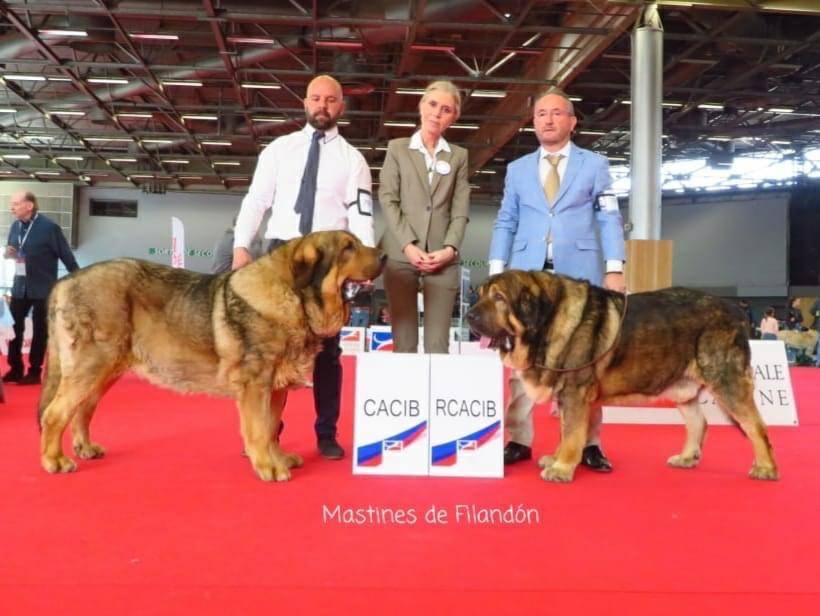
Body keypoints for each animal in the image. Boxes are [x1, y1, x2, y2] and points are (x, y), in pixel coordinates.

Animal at [37, 230, 384, 482]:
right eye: (348, 247)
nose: (383, 254)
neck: (295, 296)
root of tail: (65, 280)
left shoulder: (275, 388)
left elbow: (272, 428)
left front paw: (278, 457)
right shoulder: (255, 384)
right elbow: (259, 429)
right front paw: (268, 467)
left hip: (106, 369)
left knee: (82, 410)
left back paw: (85, 447)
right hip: (91, 364)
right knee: (55, 414)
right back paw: (55, 460)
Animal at [470, 272, 780, 484]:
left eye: (499, 298)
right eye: (481, 294)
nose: (470, 315)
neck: (549, 318)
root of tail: (735, 310)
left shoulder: (574, 392)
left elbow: (571, 434)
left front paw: (561, 468)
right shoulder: (566, 395)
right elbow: (565, 430)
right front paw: (556, 459)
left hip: (727, 381)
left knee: (756, 426)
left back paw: (766, 468)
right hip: (683, 387)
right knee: (698, 422)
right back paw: (686, 458)